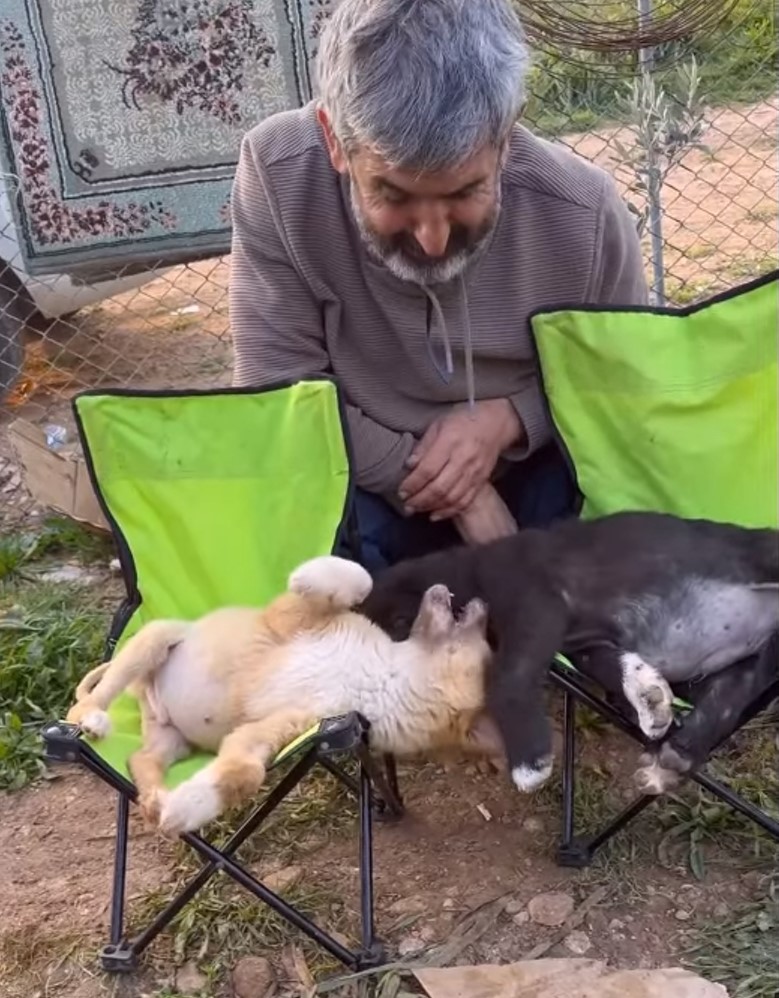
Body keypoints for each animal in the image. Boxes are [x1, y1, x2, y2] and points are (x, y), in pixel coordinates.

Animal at [67, 560, 494, 840]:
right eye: (483, 633)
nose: (483, 602)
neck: (379, 678)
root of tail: (145, 694)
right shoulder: (294, 618)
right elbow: (358, 577)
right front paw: (311, 572)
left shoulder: (281, 729)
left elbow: (242, 774)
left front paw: (187, 806)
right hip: (153, 641)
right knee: (86, 700)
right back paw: (91, 719)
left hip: (170, 740)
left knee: (141, 759)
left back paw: (155, 799)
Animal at [362, 512, 779, 792]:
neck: (468, 572)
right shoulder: (586, 643)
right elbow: (616, 667)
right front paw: (650, 698)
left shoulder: (537, 601)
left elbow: (507, 679)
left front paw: (529, 763)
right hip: (735, 670)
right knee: (722, 703)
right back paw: (673, 760)